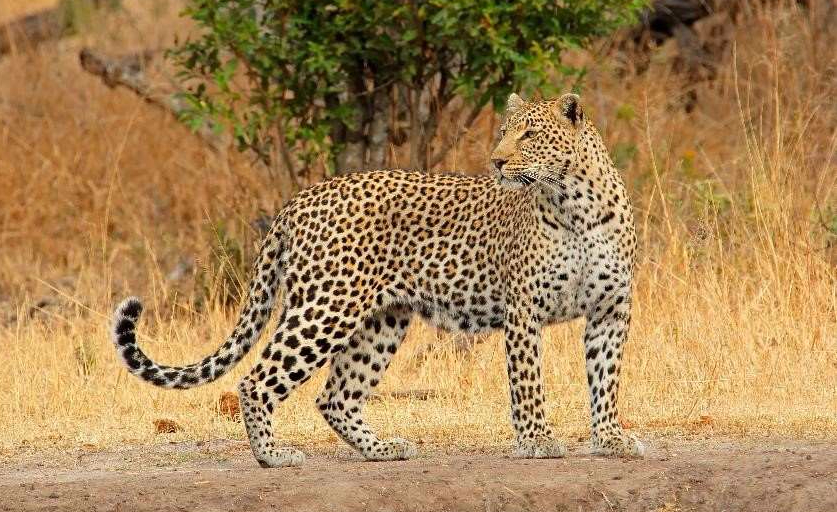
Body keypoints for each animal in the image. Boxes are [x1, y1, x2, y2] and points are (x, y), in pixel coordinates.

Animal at [111, 92, 644, 468]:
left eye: (530, 135)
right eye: (504, 133)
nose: (497, 161)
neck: (575, 205)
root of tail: (299, 199)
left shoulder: (610, 310)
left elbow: (605, 378)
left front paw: (611, 439)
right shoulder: (524, 310)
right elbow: (527, 380)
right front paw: (537, 441)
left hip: (380, 320)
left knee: (336, 395)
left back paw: (380, 449)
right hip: (326, 307)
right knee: (257, 379)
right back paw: (273, 456)